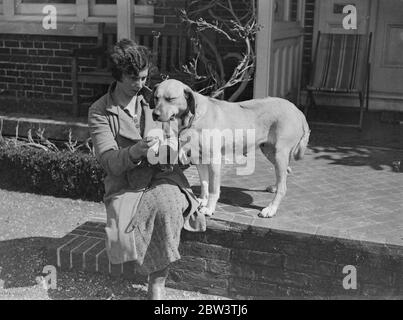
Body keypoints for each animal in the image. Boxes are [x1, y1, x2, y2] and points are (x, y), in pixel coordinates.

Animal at [150, 78, 310, 218]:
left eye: (170, 99)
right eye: (156, 98)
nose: (154, 114)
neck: (194, 117)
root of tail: (297, 111)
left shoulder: (214, 161)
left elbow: (213, 188)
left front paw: (209, 208)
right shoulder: (199, 159)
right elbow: (204, 184)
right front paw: (203, 200)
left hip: (279, 154)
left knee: (284, 187)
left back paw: (271, 209)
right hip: (270, 151)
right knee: (284, 174)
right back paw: (275, 187)